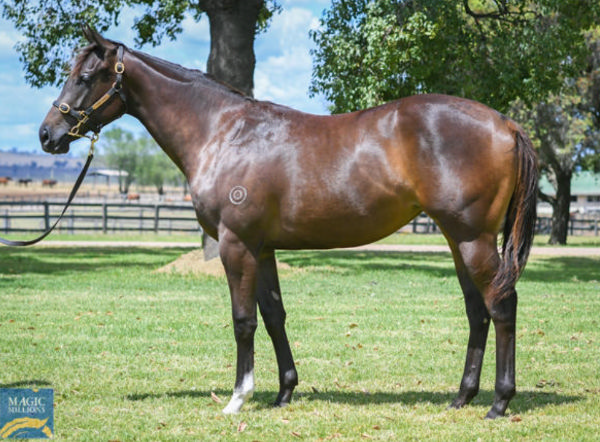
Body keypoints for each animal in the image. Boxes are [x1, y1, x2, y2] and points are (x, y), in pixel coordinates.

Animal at [38, 25, 540, 420]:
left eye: (85, 77)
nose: (48, 135)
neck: (224, 132)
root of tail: (506, 124)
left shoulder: (236, 244)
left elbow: (243, 319)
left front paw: (238, 398)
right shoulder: (262, 249)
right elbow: (274, 315)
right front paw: (284, 392)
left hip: (473, 239)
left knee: (501, 305)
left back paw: (500, 402)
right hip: (458, 239)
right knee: (477, 311)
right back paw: (462, 397)